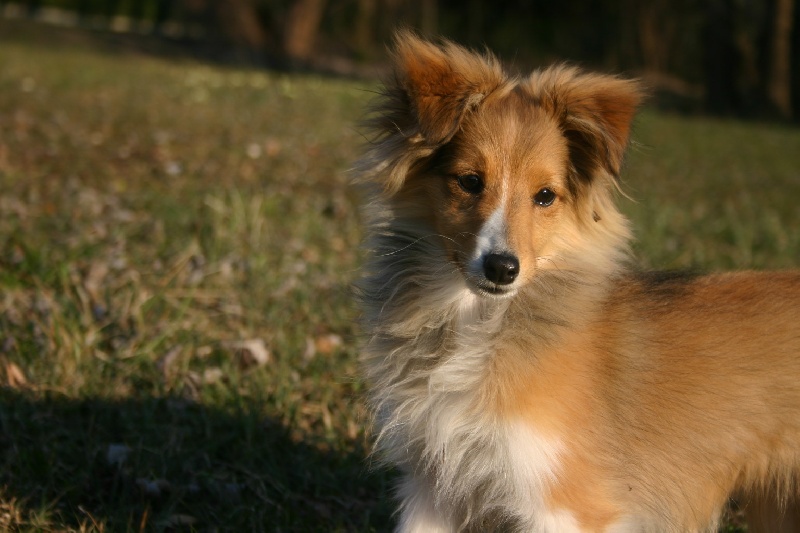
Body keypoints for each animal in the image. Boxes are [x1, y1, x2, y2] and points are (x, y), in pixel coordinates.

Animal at [356, 31, 800, 528]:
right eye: (469, 181)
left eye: (545, 196)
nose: (502, 268)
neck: (478, 322)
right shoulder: (434, 487)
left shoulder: (563, 502)